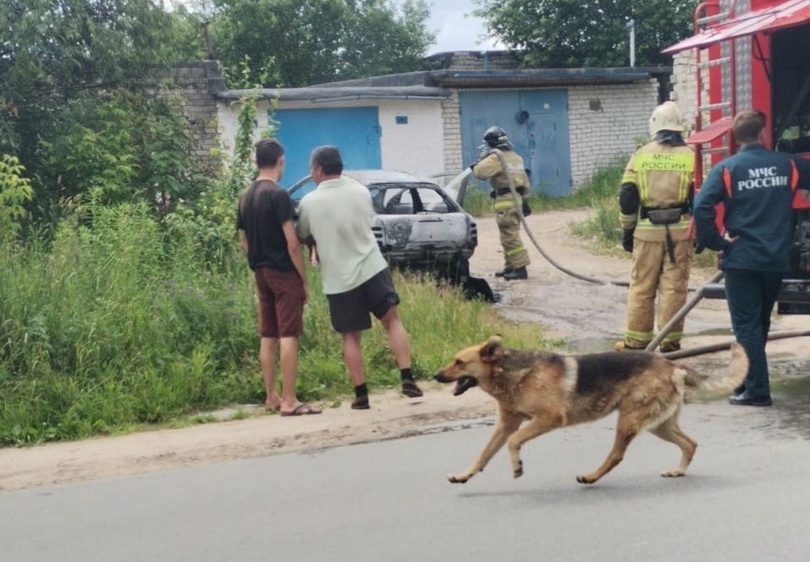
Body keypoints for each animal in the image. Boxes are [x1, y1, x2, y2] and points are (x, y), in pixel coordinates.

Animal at [436, 334, 744, 484]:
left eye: (459, 362)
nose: (435, 376)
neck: (512, 373)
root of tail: (672, 365)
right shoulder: (506, 424)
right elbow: (483, 455)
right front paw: (464, 475)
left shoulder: (548, 419)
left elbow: (514, 441)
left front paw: (517, 467)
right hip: (659, 424)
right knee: (690, 443)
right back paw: (678, 471)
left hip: (630, 420)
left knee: (616, 455)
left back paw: (591, 477)